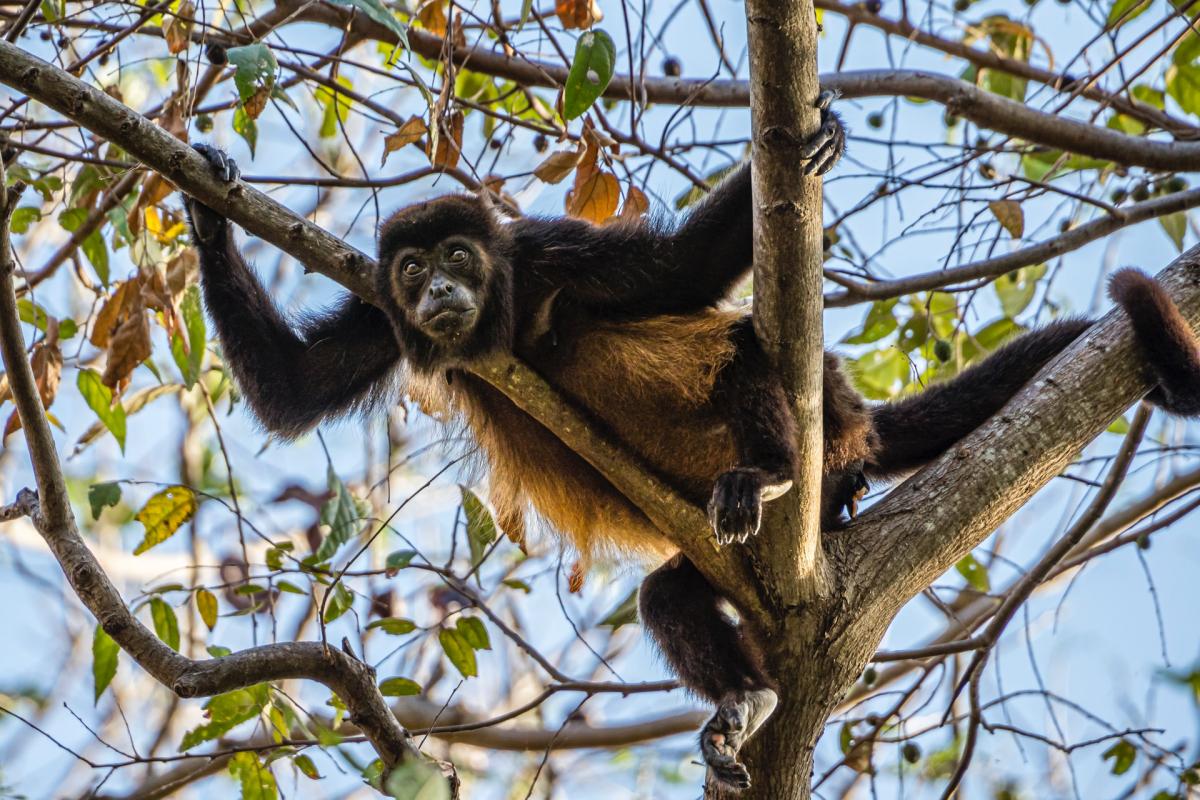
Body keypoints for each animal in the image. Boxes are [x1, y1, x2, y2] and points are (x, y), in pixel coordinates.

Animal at [182, 97, 1200, 791]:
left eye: (459, 258)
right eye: (410, 267)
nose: (436, 291)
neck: (497, 311)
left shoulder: (549, 254)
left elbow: (684, 272)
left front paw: (819, 138)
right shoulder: (382, 319)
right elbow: (294, 390)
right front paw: (206, 208)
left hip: (824, 442)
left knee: (750, 349)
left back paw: (777, 475)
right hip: (716, 551)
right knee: (668, 595)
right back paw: (743, 700)